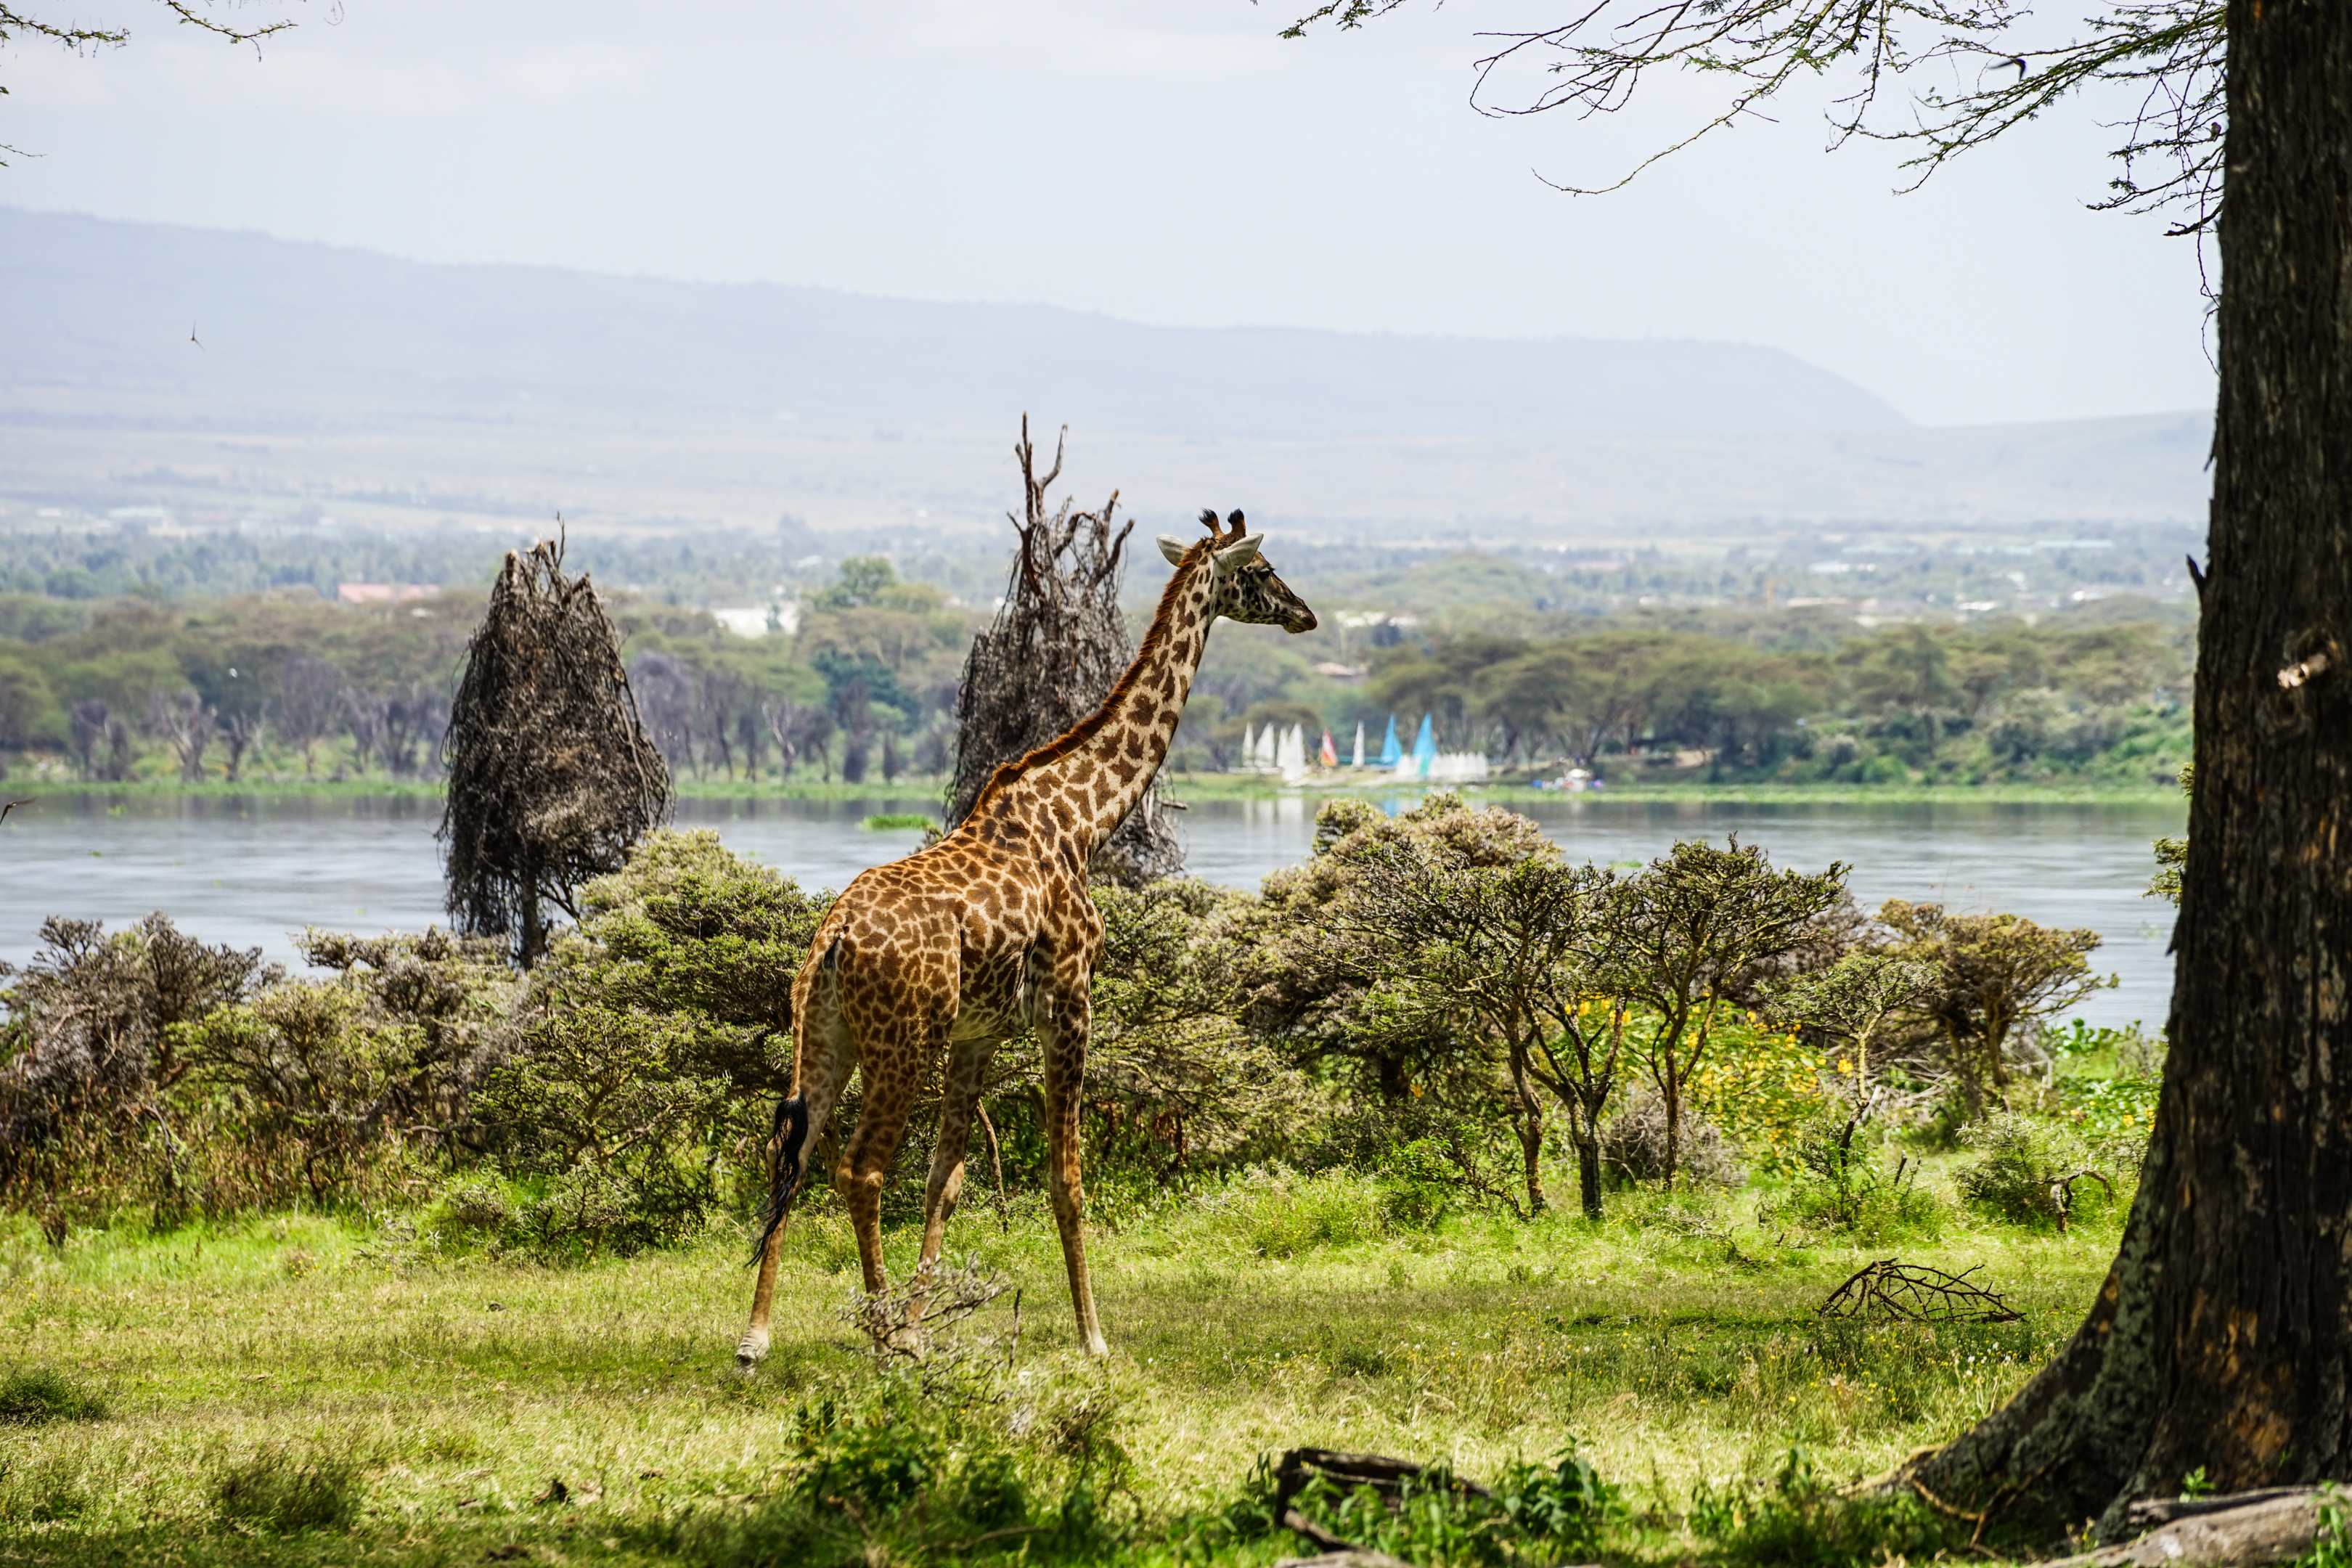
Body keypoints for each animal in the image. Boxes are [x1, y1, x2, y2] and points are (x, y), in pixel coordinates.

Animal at [733, 510, 1317, 1363]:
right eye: (1265, 570)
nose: (1306, 614)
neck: (1084, 820)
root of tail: (836, 937)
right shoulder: (1070, 1003)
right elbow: (1065, 1180)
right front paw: (1093, 1339)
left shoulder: (981, 1032)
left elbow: (946, 1178)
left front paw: (927, 1317)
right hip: (903, 1040)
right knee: (860, 1171)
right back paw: (883, 1339)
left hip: (825, 1032)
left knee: (795, 1156)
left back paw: (757, 1339)